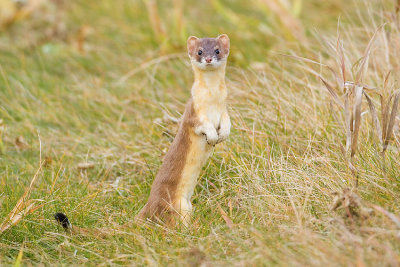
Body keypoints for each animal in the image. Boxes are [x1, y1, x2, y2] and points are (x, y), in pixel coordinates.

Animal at [135, 33, 231, 226]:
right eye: (199, 51)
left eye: (217, 50)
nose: (208, 58)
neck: (213, 101)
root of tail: (149, 204)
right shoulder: (193, 114)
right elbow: (202, 125)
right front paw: (212, 136)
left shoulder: (224, 110)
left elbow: (227, 121)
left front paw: (223, 133)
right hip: (179, 205)